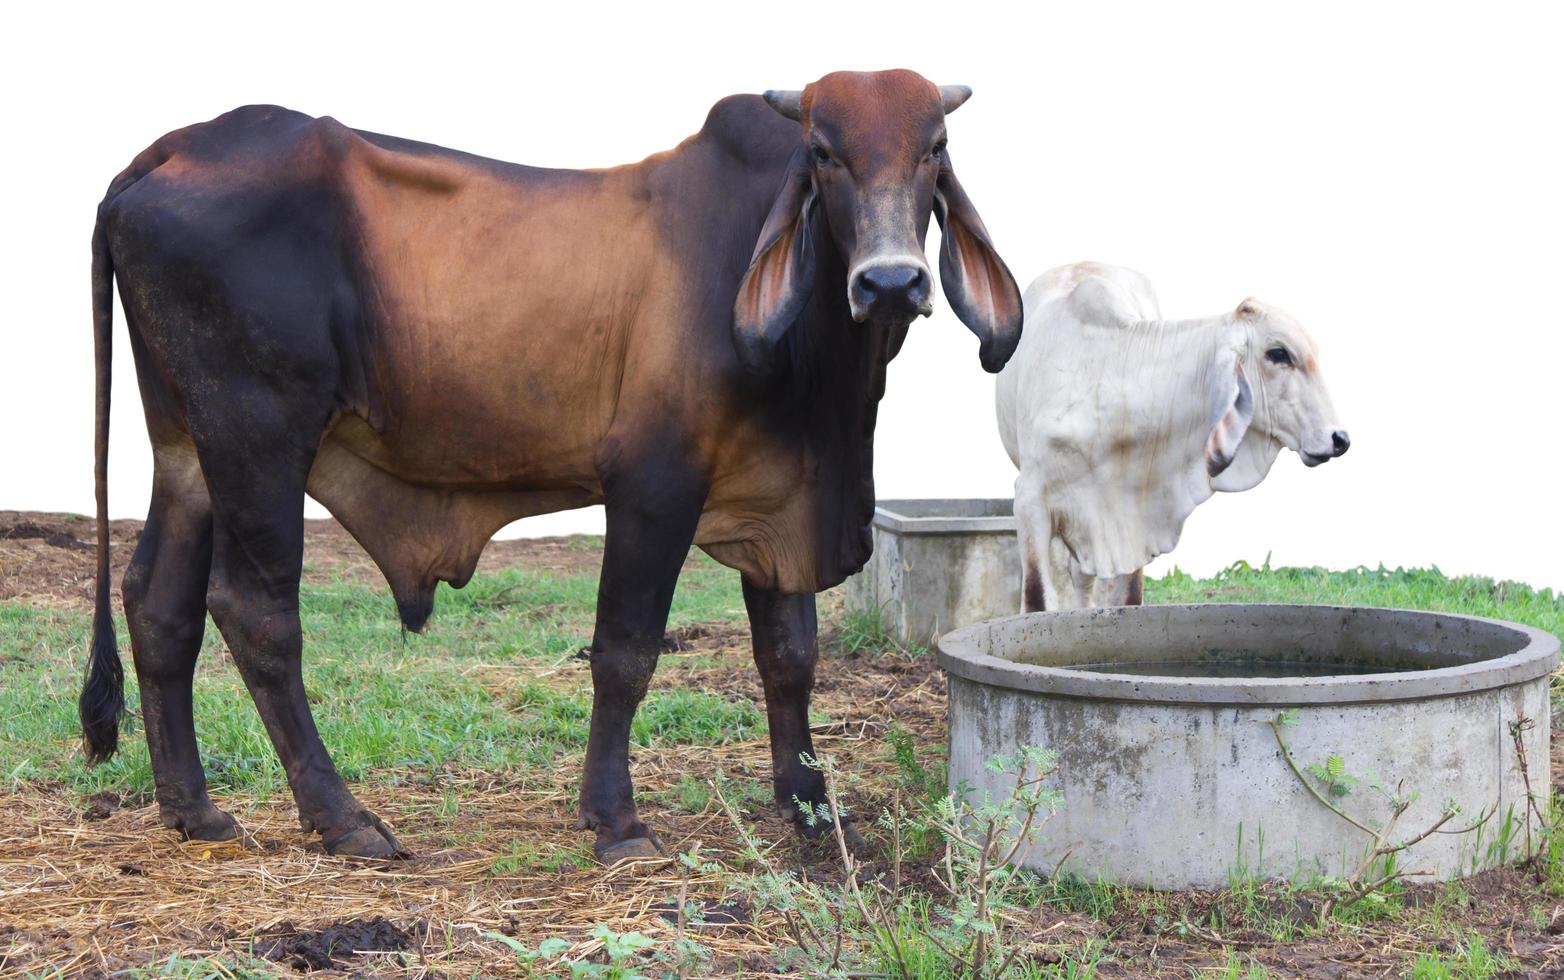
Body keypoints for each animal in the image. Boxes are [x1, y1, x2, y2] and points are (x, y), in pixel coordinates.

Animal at [82, 71, 1025, 856]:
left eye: (935, 148)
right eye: (824, 153)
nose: (892, 283)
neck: (825, 381)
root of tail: (171, 150)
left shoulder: (779, 497)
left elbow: (791, 656)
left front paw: (812, 808)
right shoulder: (653, 484)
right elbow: (625, 652)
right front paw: (615, 820)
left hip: (188, 447)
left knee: (158, 602)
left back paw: (194, 810)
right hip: (260, 436)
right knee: (256, 613)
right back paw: (343, 818)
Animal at [1000, 264, 1345, 609]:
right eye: (1278, 353)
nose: (1339, 438)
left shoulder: (1137, 519)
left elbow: (1128, 598)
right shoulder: (1030, 501)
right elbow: (1038, 598)